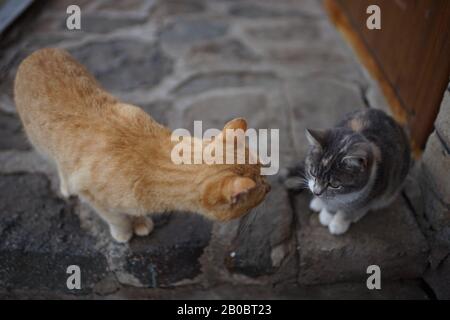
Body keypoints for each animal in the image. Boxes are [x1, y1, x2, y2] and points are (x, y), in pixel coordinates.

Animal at [14, 48, 270, 242]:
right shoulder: (90, 193)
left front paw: (139, 221)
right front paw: (124, 231)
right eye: (259, 187)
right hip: (43, 145)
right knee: (58, 164)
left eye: (262, 172)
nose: (269, 187)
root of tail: (37, 52)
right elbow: (116, 217)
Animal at [284, 109, 412, 234]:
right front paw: (327, 213)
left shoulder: (376, 189)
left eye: (334, 185)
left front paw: (338, 224)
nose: (317, 192)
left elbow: (353, 209)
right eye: (313, 173)